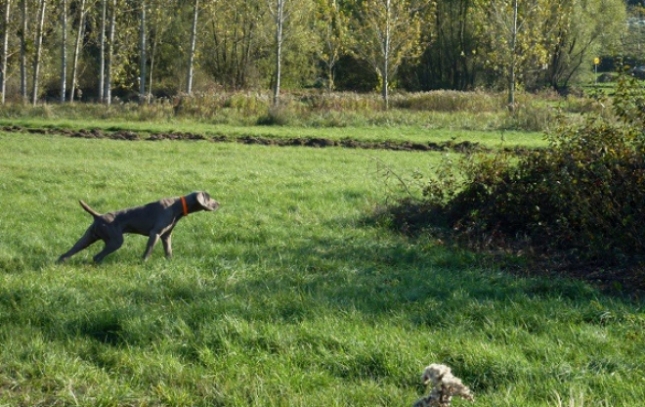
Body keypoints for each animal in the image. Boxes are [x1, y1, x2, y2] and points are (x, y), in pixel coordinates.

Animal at [57, 192, 219, 264]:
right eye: (209, 197)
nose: (219, 203)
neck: (177, 206)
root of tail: (99, 216)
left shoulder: (166, 236)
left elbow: (168, 250)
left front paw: (170, 262)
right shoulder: (155, 233)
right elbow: (149, 250)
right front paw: (144, 263)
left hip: (88, 238)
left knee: (67, 253)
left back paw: (59, 262)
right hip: (116, 241)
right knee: (96, 257)